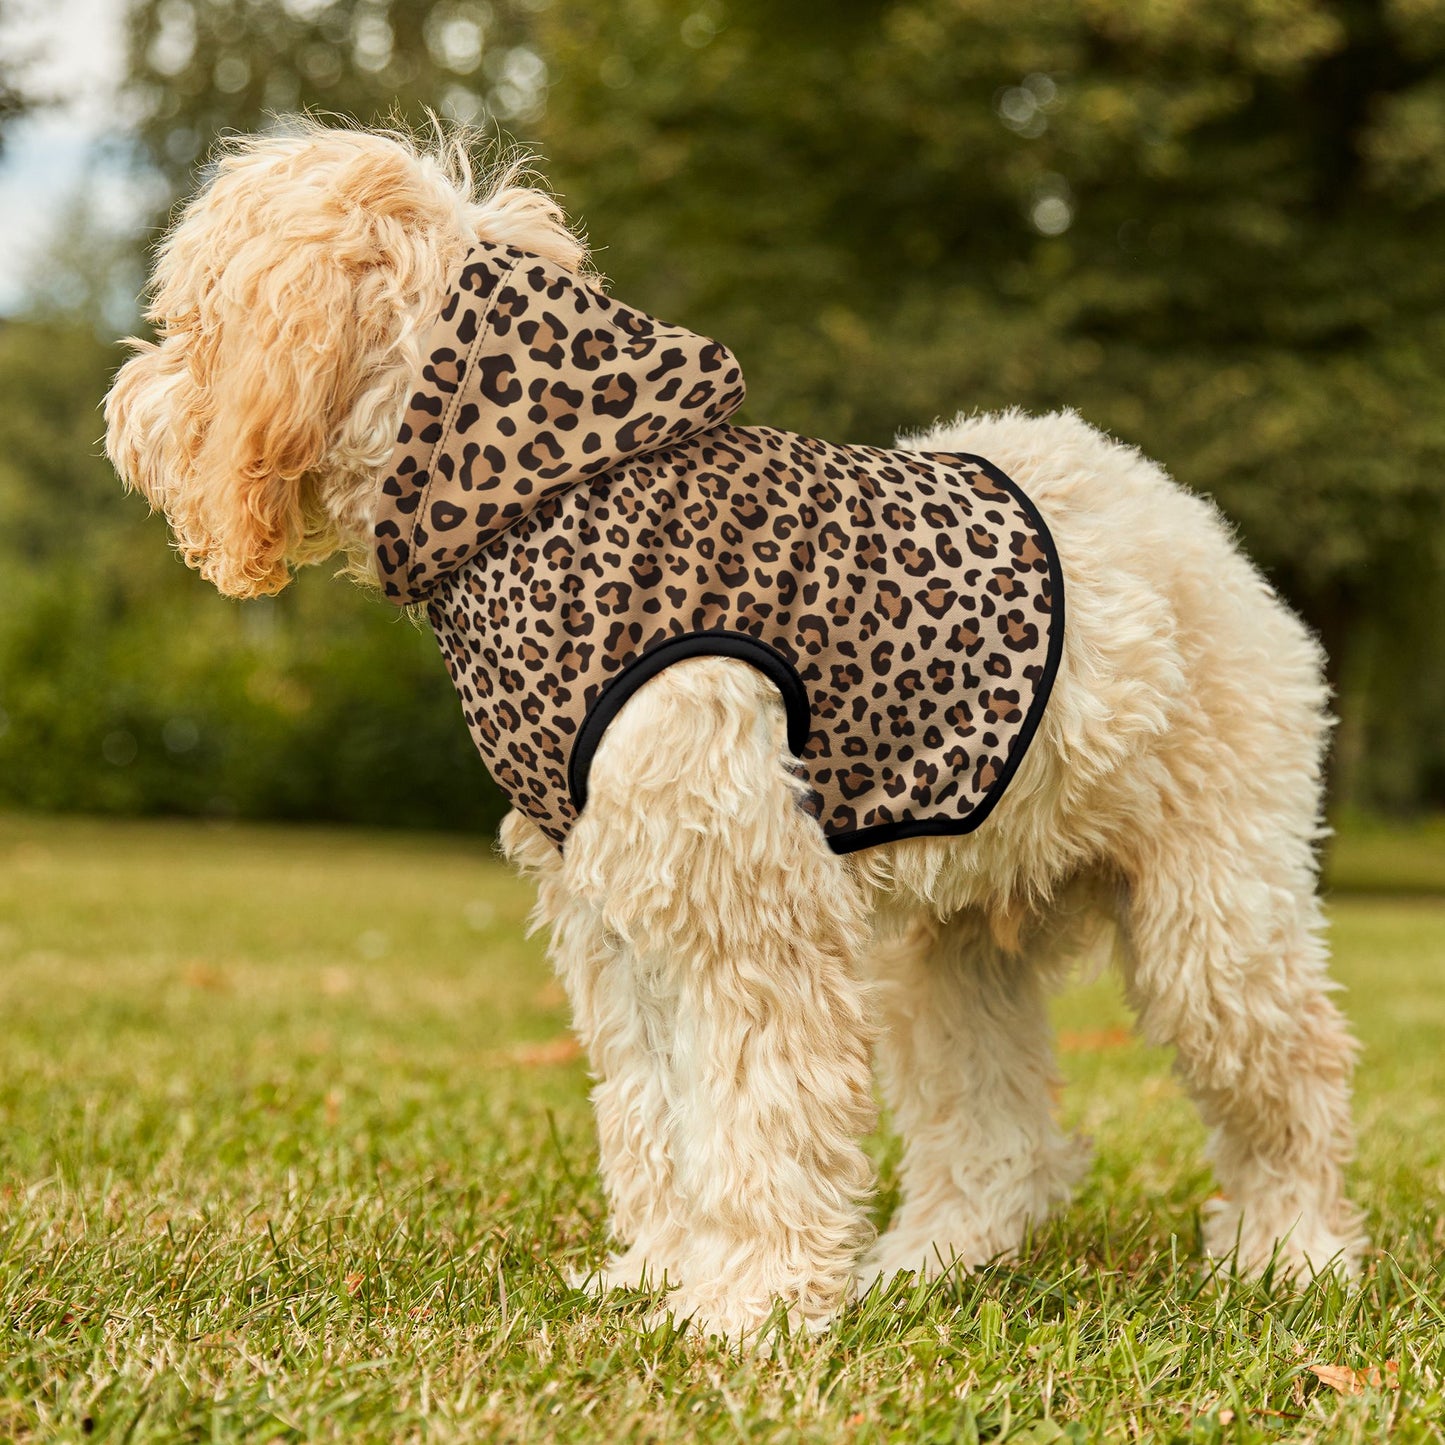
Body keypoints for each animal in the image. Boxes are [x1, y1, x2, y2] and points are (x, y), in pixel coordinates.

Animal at [106, 124, 1358, 1340]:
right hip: (949, 949)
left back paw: (1291, 1253)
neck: (542, 500)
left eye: (190, 321)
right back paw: (930, 1261)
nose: (123, 411)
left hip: (1213, 918)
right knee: (998, 1136)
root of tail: (1184, 516)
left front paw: (746, 1304)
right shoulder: (615, 914)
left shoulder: (743, 907)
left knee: (1294, 1076)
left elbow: (757, 1116)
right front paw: (661, 1272)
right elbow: (656, 1112)